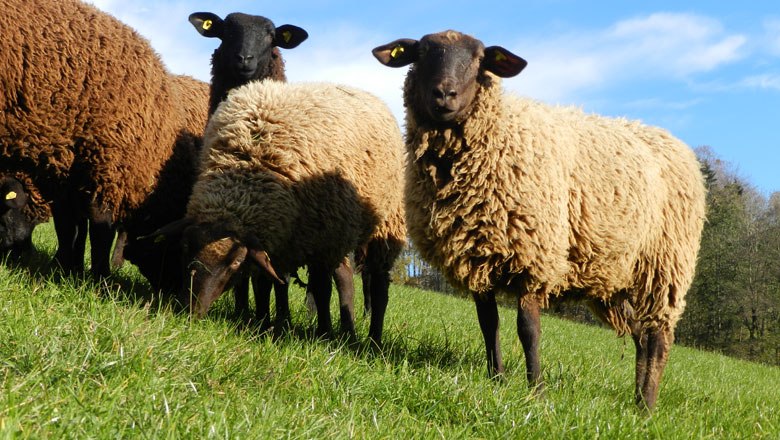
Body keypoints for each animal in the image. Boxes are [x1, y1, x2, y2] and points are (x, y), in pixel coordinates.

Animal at [0, 0, 207, 278]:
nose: (18, 251)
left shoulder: (73, 170)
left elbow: (73, 226)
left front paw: (70, 268)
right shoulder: (107, 164)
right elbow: (96, 227)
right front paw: (96, 275)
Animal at [154, 81, 408, 344]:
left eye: (235, 263)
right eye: (184, 248)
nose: (188, 310)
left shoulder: (320, 241)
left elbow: (320, 290)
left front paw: (323, 334)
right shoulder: (278, 240)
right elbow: (266, 281)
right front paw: (264, 323)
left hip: (378, 227)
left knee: (377, 287)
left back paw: (372, 339)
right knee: (345, 277)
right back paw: (348, 331)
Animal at [372, 30, 708, 410]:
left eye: (478, 59)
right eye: (422, 53)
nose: (444, 94)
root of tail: (681, 148)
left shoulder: (532, 258)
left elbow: (528, 329)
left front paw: (536, 391)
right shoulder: (477, 258)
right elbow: (488, 324)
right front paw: (498, 380)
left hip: (664, 268)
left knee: (658, 339)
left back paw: (647, 407)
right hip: (617, 275)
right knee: (640, 335)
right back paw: (636, 400)